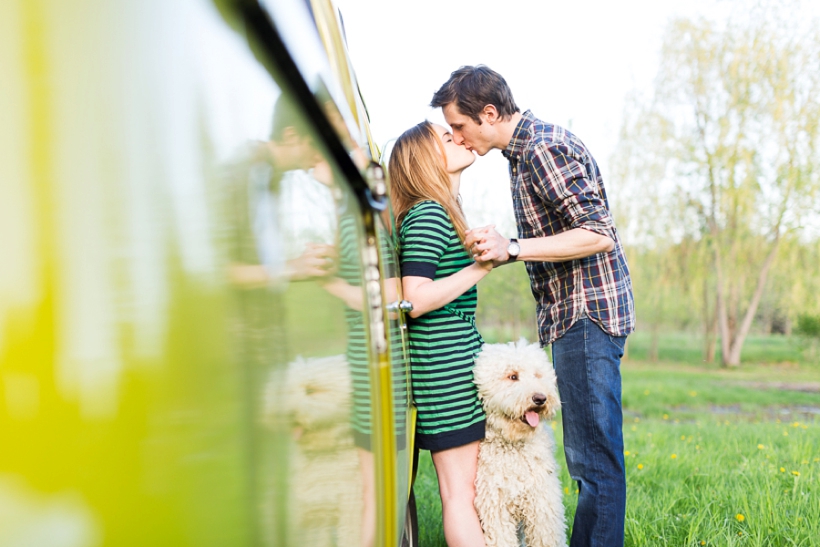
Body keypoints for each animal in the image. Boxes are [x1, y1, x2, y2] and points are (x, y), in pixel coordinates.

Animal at [470, 340, 568, 547]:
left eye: (538, 375)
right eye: (513, 376)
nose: (540, 398)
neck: (515, 448)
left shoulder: (542, 506)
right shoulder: (495, 509)